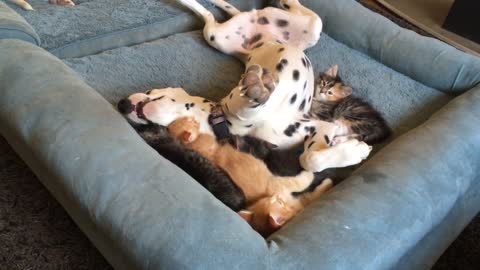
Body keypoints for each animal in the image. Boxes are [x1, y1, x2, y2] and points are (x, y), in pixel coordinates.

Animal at [118, 0, 374, 172]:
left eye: (150, 91)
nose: (121, 104)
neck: (225, 121)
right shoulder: (318, 127)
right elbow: (309, 159)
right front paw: (355, 149)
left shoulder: (318, 126)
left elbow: (311, 159)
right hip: (216, 36)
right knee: (209, 14)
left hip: (311, 28)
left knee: (297, 7)